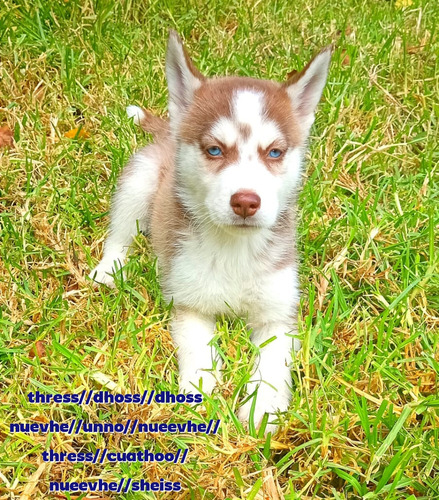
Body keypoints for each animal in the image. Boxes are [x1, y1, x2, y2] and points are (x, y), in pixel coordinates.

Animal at [89, 30, 330, 434]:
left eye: (275, 152)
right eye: (215, 150)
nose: (245, 201)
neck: (235, 249)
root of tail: (170, 131)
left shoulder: (278, 314)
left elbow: (273, 360)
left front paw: (263, 408)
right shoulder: (189, 303)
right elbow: (197, 347)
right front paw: (200, 391)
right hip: (140, 180)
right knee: (119, 233)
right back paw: (109, 268)